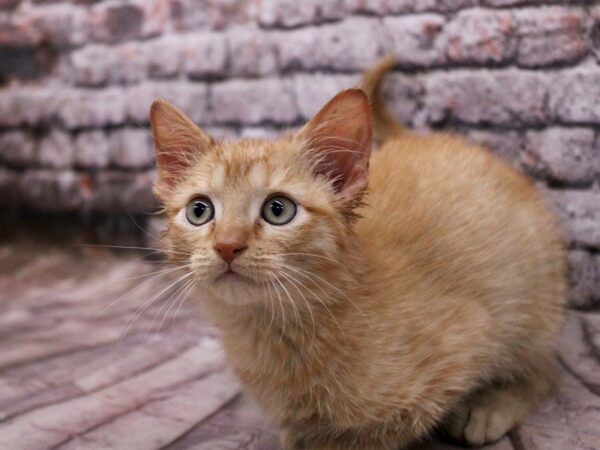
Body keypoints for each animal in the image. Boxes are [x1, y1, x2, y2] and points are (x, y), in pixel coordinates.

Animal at [151, 57, 568, 450]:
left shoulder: (468, 339)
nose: (227, 244)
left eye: (278, 210)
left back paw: (493, 405)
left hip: (531, 302)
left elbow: (377, 433)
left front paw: (324, 440)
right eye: (199, 211)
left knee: (545, 369)